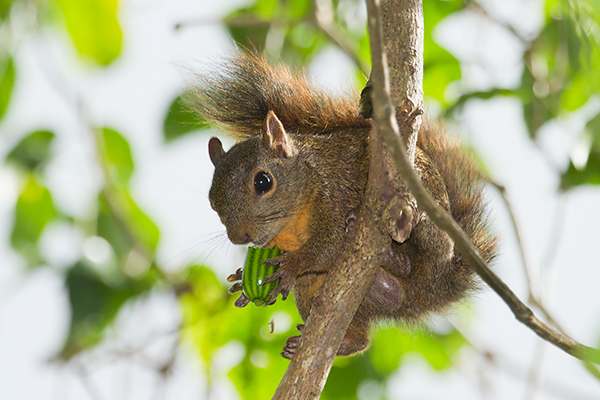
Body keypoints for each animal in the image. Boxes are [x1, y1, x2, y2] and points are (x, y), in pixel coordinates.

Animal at [192, 52, 496, 356]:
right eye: (212, 202)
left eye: (263, 182)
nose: (238, 237)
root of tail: (435, 287)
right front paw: (240, 279)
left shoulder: (334, 193)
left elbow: (328, 245)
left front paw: (291, 265)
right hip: (325, 292)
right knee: (366, 330)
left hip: (428, 216)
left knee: (416, 246)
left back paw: (391, 245)